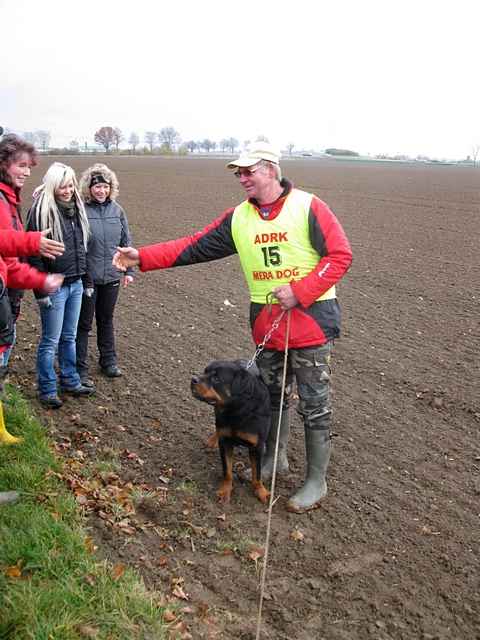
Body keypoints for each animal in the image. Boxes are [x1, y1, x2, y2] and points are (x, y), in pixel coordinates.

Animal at [192, 360, 274, 504]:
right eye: (205, 371)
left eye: (216, 378)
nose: (193, 379)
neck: (238, 410)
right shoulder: (225, 442)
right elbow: (227, 471)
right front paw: (225, 491)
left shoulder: (257, 446)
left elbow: (257, 473)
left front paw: (261, 491)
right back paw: (212, 440)